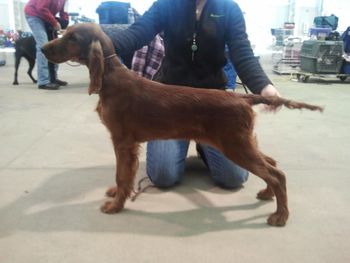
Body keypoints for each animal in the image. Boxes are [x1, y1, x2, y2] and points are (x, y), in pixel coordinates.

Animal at [41, 23, 322, 228]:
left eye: (73, 37)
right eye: (64, 32)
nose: (43, 48)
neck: (110, 78)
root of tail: (243, 97)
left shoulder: (122, 142)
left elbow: (122, 175)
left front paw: (115, 206)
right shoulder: (126, 144)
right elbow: (123, 176)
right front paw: (116, 194)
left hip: (235, 146)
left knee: (276, 173)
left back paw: (280, 216)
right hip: (243, 141)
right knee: (272, 165)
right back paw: (267, 195)